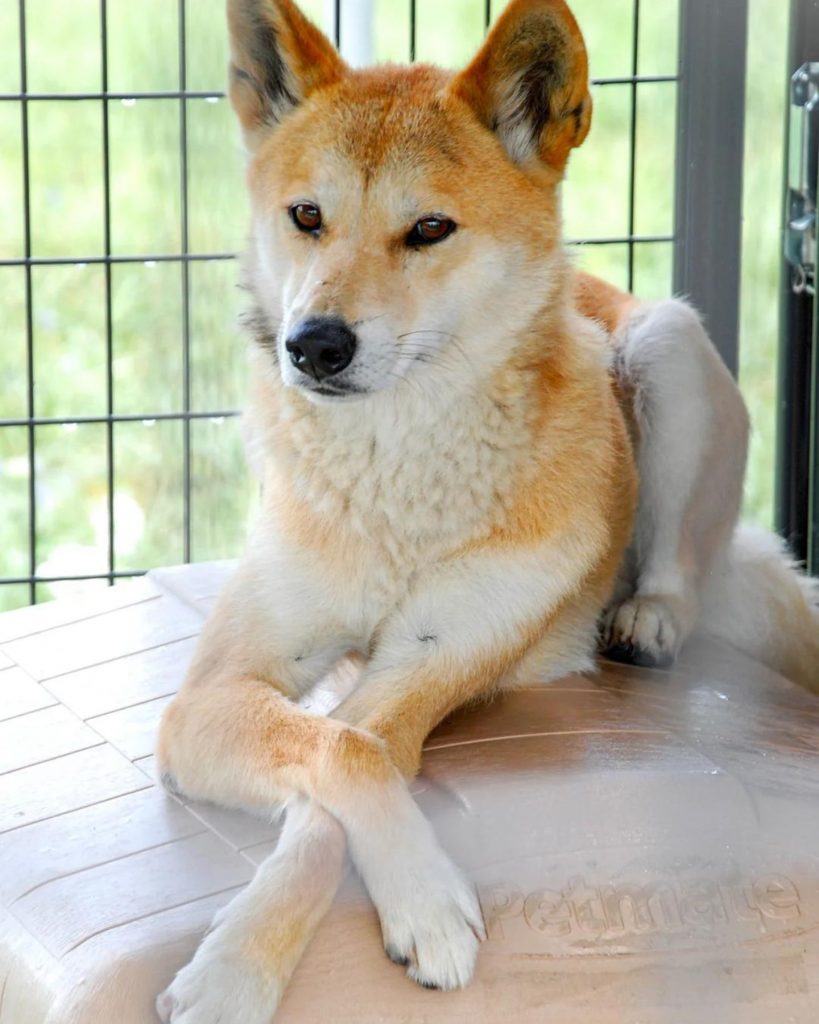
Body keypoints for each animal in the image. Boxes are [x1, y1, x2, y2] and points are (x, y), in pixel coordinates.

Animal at [155, 4, 818, 1019]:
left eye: (429, 229)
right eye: (306, 216)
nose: (313, 345)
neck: (396, 480)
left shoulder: (434, 658)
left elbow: (357, 750)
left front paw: (380, 922)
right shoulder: (208, 698)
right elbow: (339, 751)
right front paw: (247, 966)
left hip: (665, 348)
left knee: (680, 570)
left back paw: (646, 619)